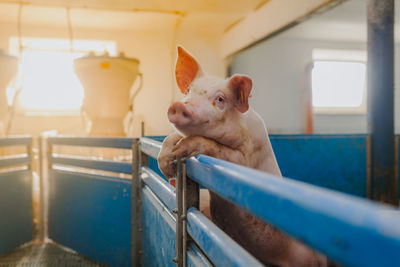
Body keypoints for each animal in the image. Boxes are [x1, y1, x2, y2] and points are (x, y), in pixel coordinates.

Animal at [157, 47, 328, 266]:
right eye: (188, 91)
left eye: (220, 99)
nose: (179, 106)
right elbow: (171, 137)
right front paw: (167, 166)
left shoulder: (244, 157)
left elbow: (209, 144)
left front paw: (180, 152)